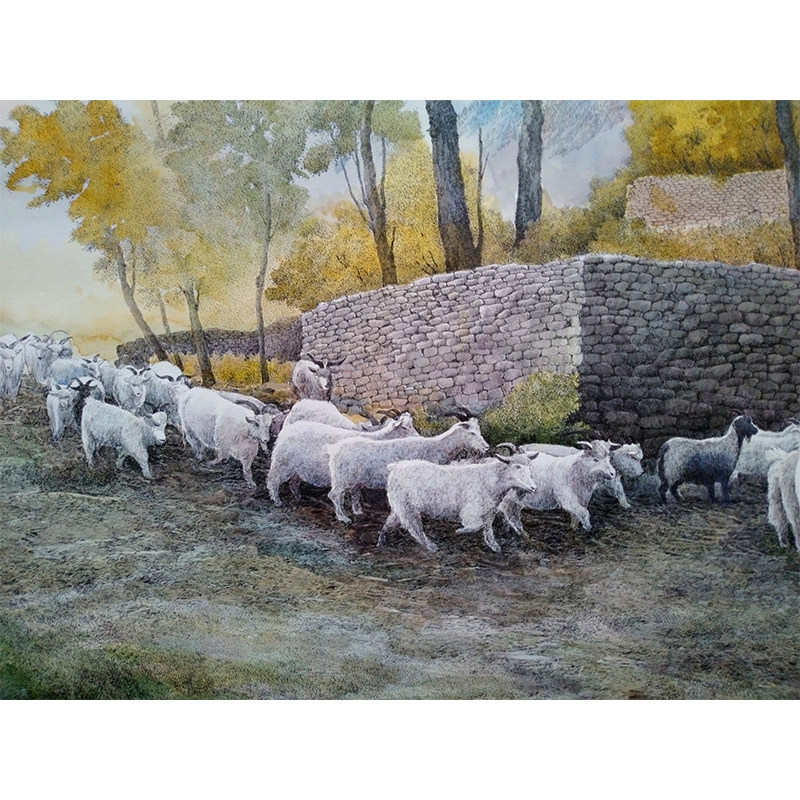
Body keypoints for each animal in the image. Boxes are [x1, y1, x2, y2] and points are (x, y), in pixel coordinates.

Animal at [266, 414, 418, 506]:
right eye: (406, 427)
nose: (418, 437)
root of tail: (286, 431)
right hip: (283, 464)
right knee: (272, 480)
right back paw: (277, 501)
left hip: (298, 469)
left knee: (293, 483)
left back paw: (299, 498)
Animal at [327, 418, 490, 524]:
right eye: (472, 433)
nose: (487, 447)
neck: (436, 446)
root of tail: (334, 449)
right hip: (342, 478)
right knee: (334, 495)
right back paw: (343, 518)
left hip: (355, 479)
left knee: (352, 493)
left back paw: (358, 512)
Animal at [377, 453, 538, 553]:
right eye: (517, 466)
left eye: (529, 466)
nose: (533, 487)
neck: (490, 479)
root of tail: (395, 467)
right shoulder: (470, 513)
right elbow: (476, 526)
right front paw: (459, 531)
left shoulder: (488, 512)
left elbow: (488, 530)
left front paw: (495, 547)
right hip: (406, 507)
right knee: (414, 528)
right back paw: (431, 547)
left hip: (399, 507)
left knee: (390, 523)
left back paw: (381, 542)